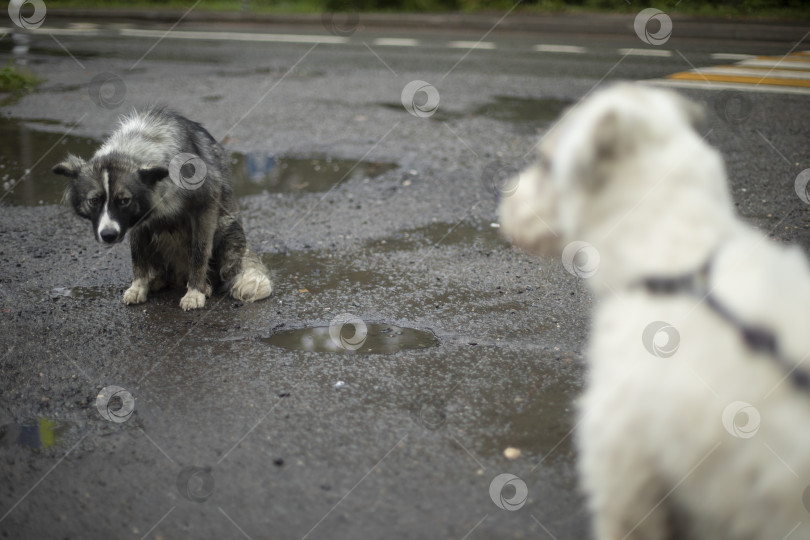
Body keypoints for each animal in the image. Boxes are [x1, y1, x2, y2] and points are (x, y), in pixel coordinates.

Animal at [55, 107, 274, 310]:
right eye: (94, 201)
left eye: (124, 200)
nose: (108, 235)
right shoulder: (140, 221)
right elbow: (137, 256)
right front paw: (139, 286)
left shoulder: (205, 208)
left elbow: (199, 254)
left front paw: (195, 292)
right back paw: (156, 281)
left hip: (226, 231)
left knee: (226, 273)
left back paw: (208, 285)